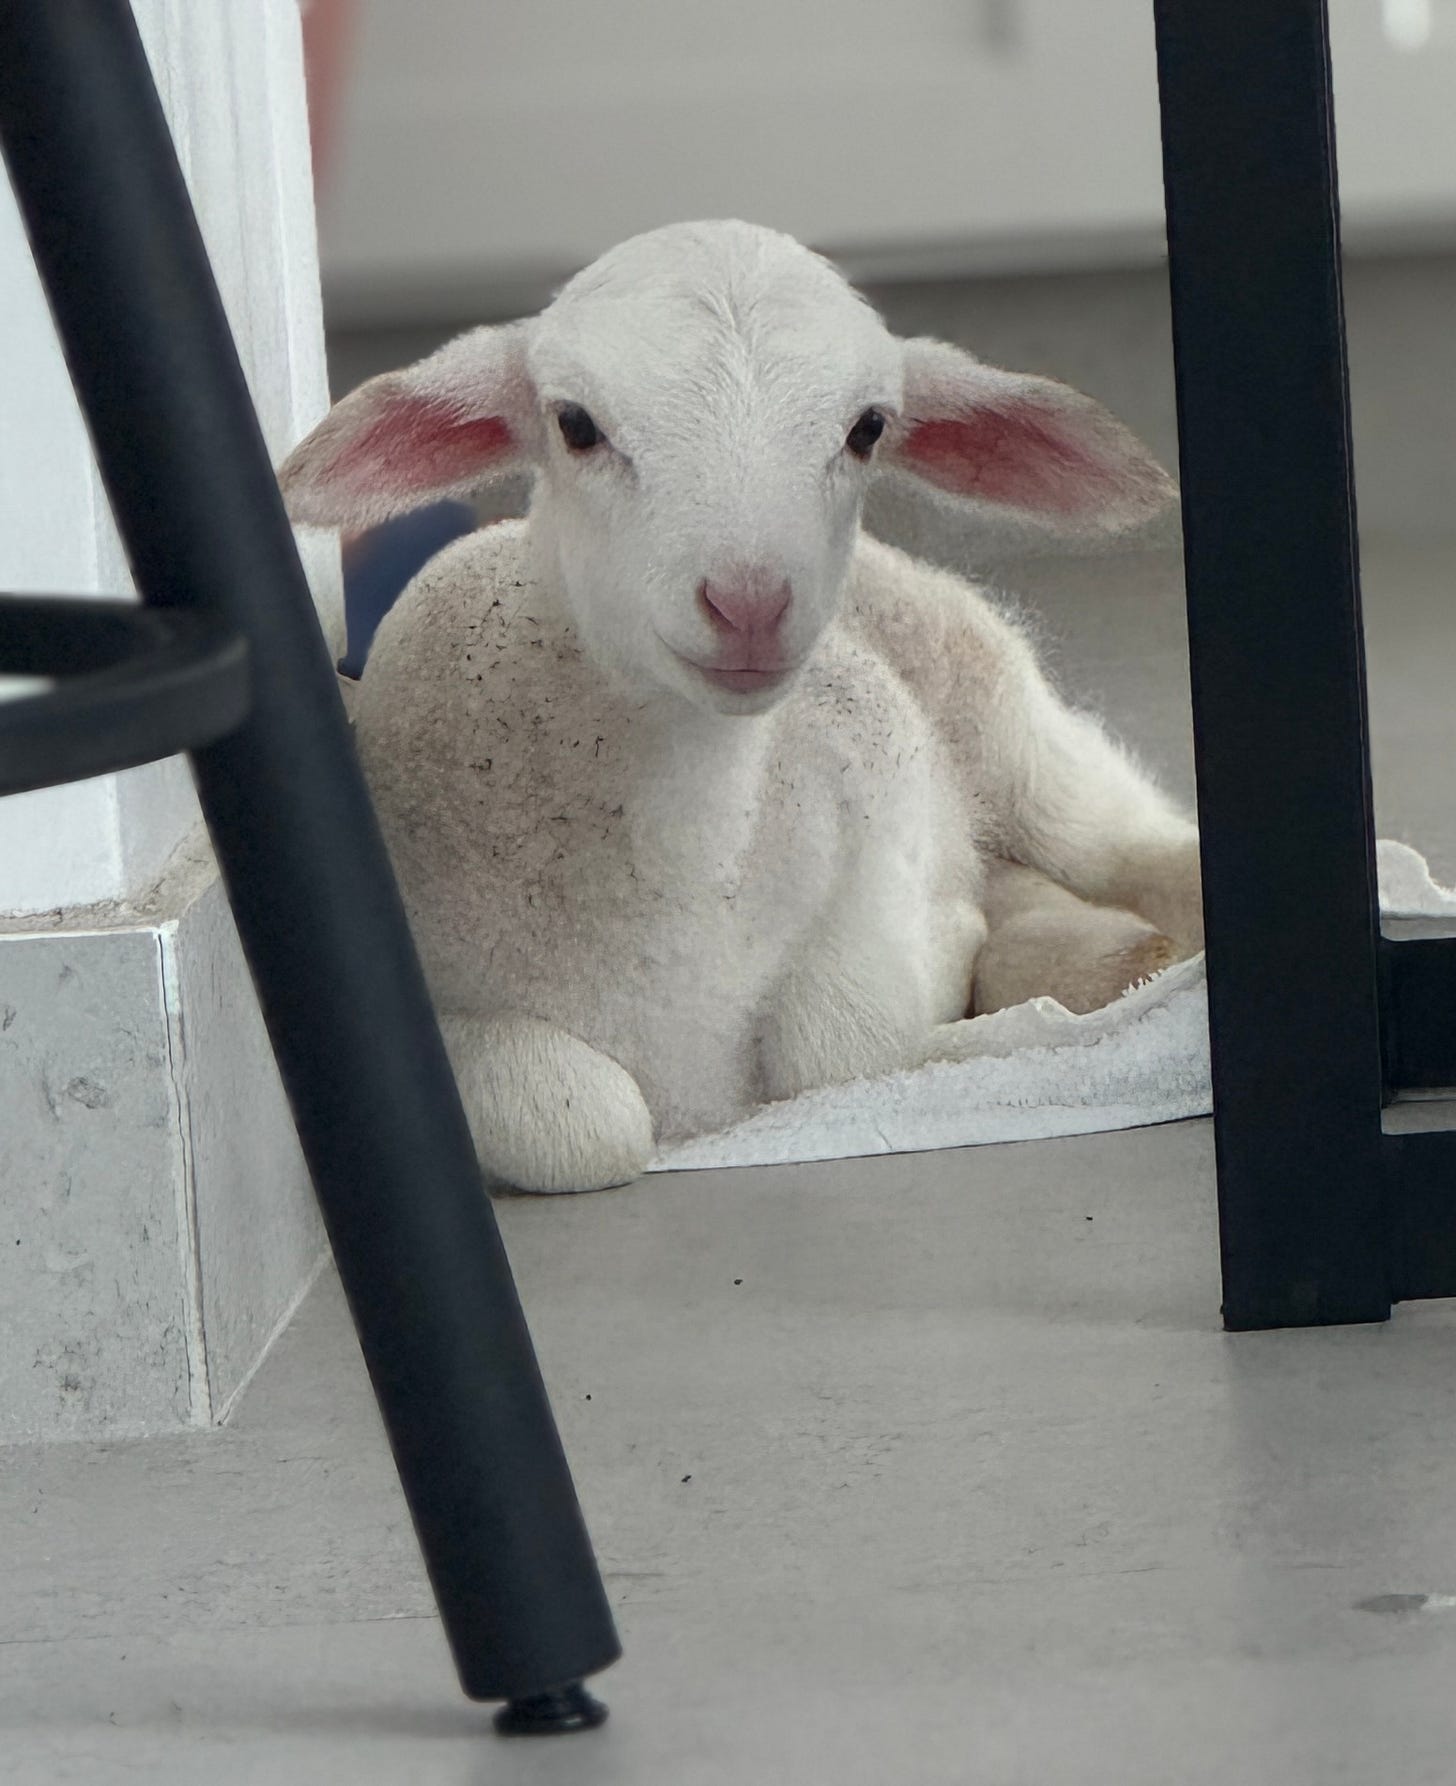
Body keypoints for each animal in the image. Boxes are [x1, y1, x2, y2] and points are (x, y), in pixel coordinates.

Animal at [279, 219, 1202, 1194]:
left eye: (868, 429)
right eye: (575, 425)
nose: (752, 603)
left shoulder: (883, 819)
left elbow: (834, 1043)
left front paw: (953, 950)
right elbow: (590, 1119)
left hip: (996, 712)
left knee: (1121, 842)